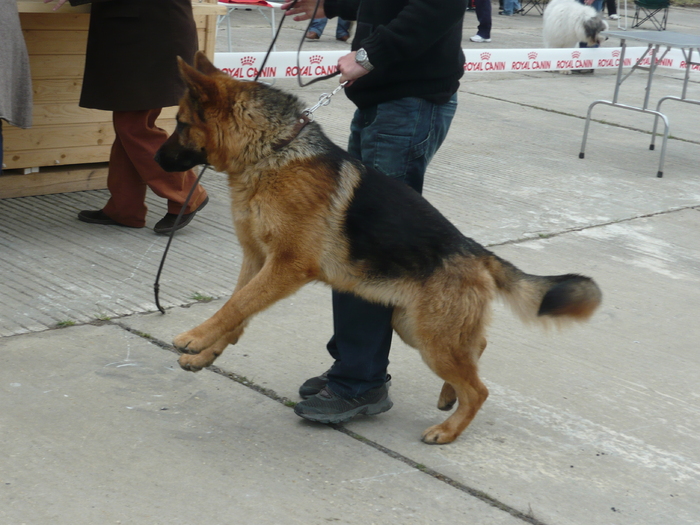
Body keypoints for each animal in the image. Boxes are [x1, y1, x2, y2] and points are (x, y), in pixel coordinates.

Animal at [157, 52, 600, 442]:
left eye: (180, 123)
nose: (158, 158)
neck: (272, 151)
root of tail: (476, 251)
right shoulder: (257, 259)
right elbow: (238, 308)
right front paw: (205, 354)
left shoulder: (285, 267)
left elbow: (237, 305)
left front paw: (194, 338)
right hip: (413, 327)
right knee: (477, 351)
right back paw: (448, 397)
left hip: (430, 338)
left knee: (479, 389)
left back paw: (447, 431)